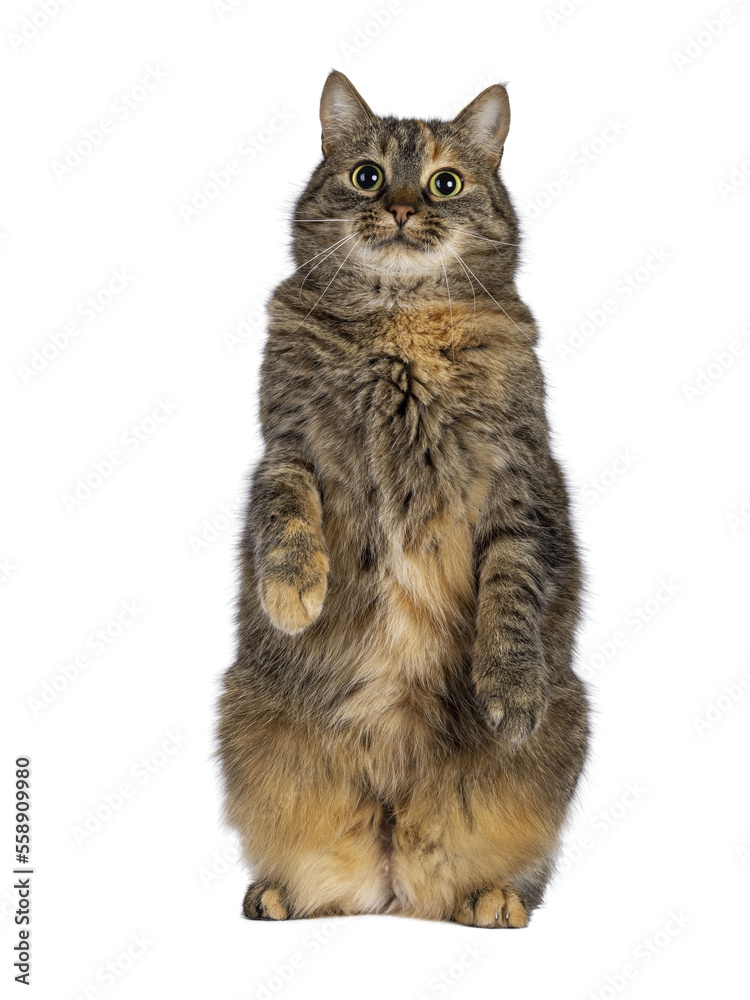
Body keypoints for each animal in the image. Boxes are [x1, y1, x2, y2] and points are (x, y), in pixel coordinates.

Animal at [217, 70, 592, 928]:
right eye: (367, 175)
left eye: (444, 183)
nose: (399, 208)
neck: (399, 320)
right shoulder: (288, 445)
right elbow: (283, 516)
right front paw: (292, 595)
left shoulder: (520, 485)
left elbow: (511, 598)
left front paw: (508, 688)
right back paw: (277, 894)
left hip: (562, 738)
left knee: (506, 875)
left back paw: (492, 899)